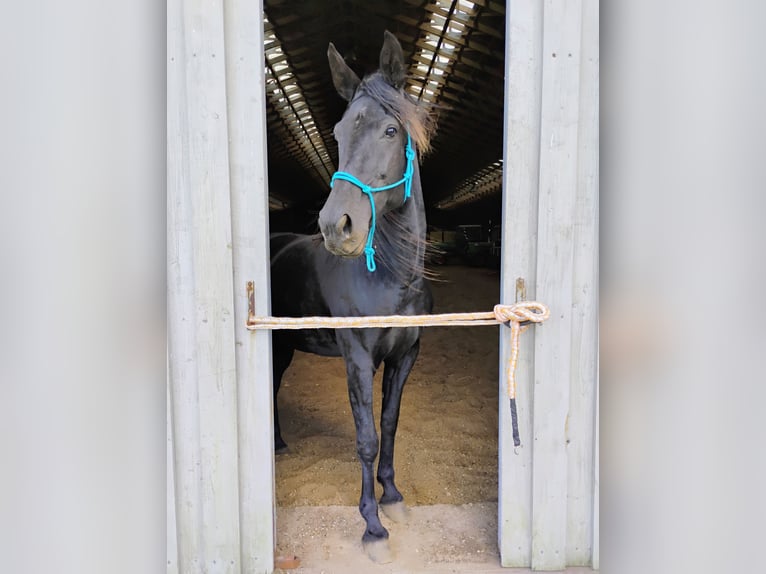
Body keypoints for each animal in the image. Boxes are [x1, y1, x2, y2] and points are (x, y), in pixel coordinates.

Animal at [270, 32, 438, 564]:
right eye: (340, 131)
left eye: (391, 129)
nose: (335, 225)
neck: (389, 278)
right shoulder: (359, 358)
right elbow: (365, 438)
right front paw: (373, 527)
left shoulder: (407, 355)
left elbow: (390, 423)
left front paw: (394, 499)